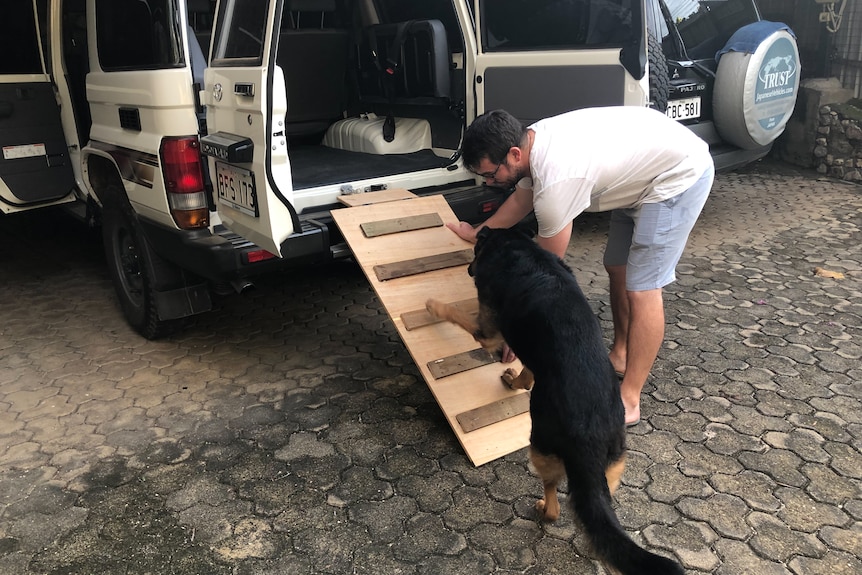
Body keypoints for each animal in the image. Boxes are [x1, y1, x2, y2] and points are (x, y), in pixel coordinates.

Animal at [426, 227, 680, 575]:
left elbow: (457, 314)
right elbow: (528, 371)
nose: (467, 268)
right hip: (612, 468)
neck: (518, 249)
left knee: (555, 505)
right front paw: (516, 380)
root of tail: (590, 435)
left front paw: (433, 305)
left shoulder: (487, 331)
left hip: (539, 446)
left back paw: (543, 507)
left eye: (475, 251)